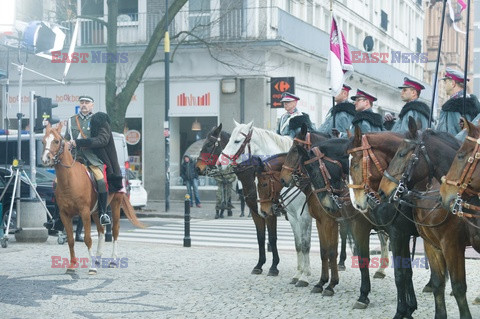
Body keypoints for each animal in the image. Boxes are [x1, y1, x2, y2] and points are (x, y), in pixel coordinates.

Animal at [41, 123, 143, 276]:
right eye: (43, 141)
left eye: (56, 141)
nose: (45, 159)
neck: (69, 180)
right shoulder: (65, 215)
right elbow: (70, 240)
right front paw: (72, 265)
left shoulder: (84, 213)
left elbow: (88, 239)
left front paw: (92, 268)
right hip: (96, 211)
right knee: (101, 231)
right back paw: (98, 257)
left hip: (115, 204)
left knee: (114, 230)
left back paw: (113, 260)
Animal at [280, 124, 392, 308]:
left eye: (295, 150)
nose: (283, 179)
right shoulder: (320, 222)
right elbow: (324, 251)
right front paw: (322, 282)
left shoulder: (330, 222)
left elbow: (332, 252)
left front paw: (330, 284)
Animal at [344, 128, 420, 319]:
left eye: (355, 164)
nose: (356, 203)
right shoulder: (401, 234)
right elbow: (406, 271)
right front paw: (410, 307)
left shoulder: (395, 234)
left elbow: (400, 272)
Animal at [378, 119, 472, 319]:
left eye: (402, 153)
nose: (382, 191)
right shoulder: (431, 245)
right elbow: (437, 283)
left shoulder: (452, 245)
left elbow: (458, 287)